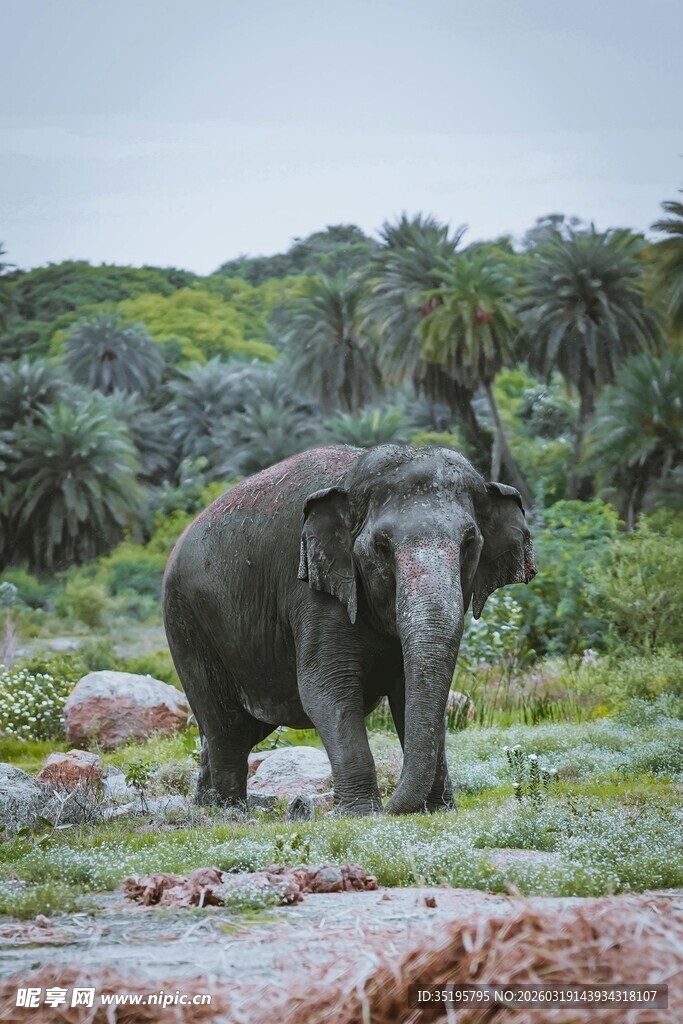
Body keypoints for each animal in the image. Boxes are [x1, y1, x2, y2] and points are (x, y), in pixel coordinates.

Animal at [162, 443, 536, 816]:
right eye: (382, 547)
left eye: (469, 543)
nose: (389, 810)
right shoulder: (312, 589)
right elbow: (327, 686)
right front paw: (361, 814)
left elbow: (407, 692)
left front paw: (437, 811)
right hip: (186, 621)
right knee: (228, 727)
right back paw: (227, 812)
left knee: (238, 729)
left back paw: (204, 804)